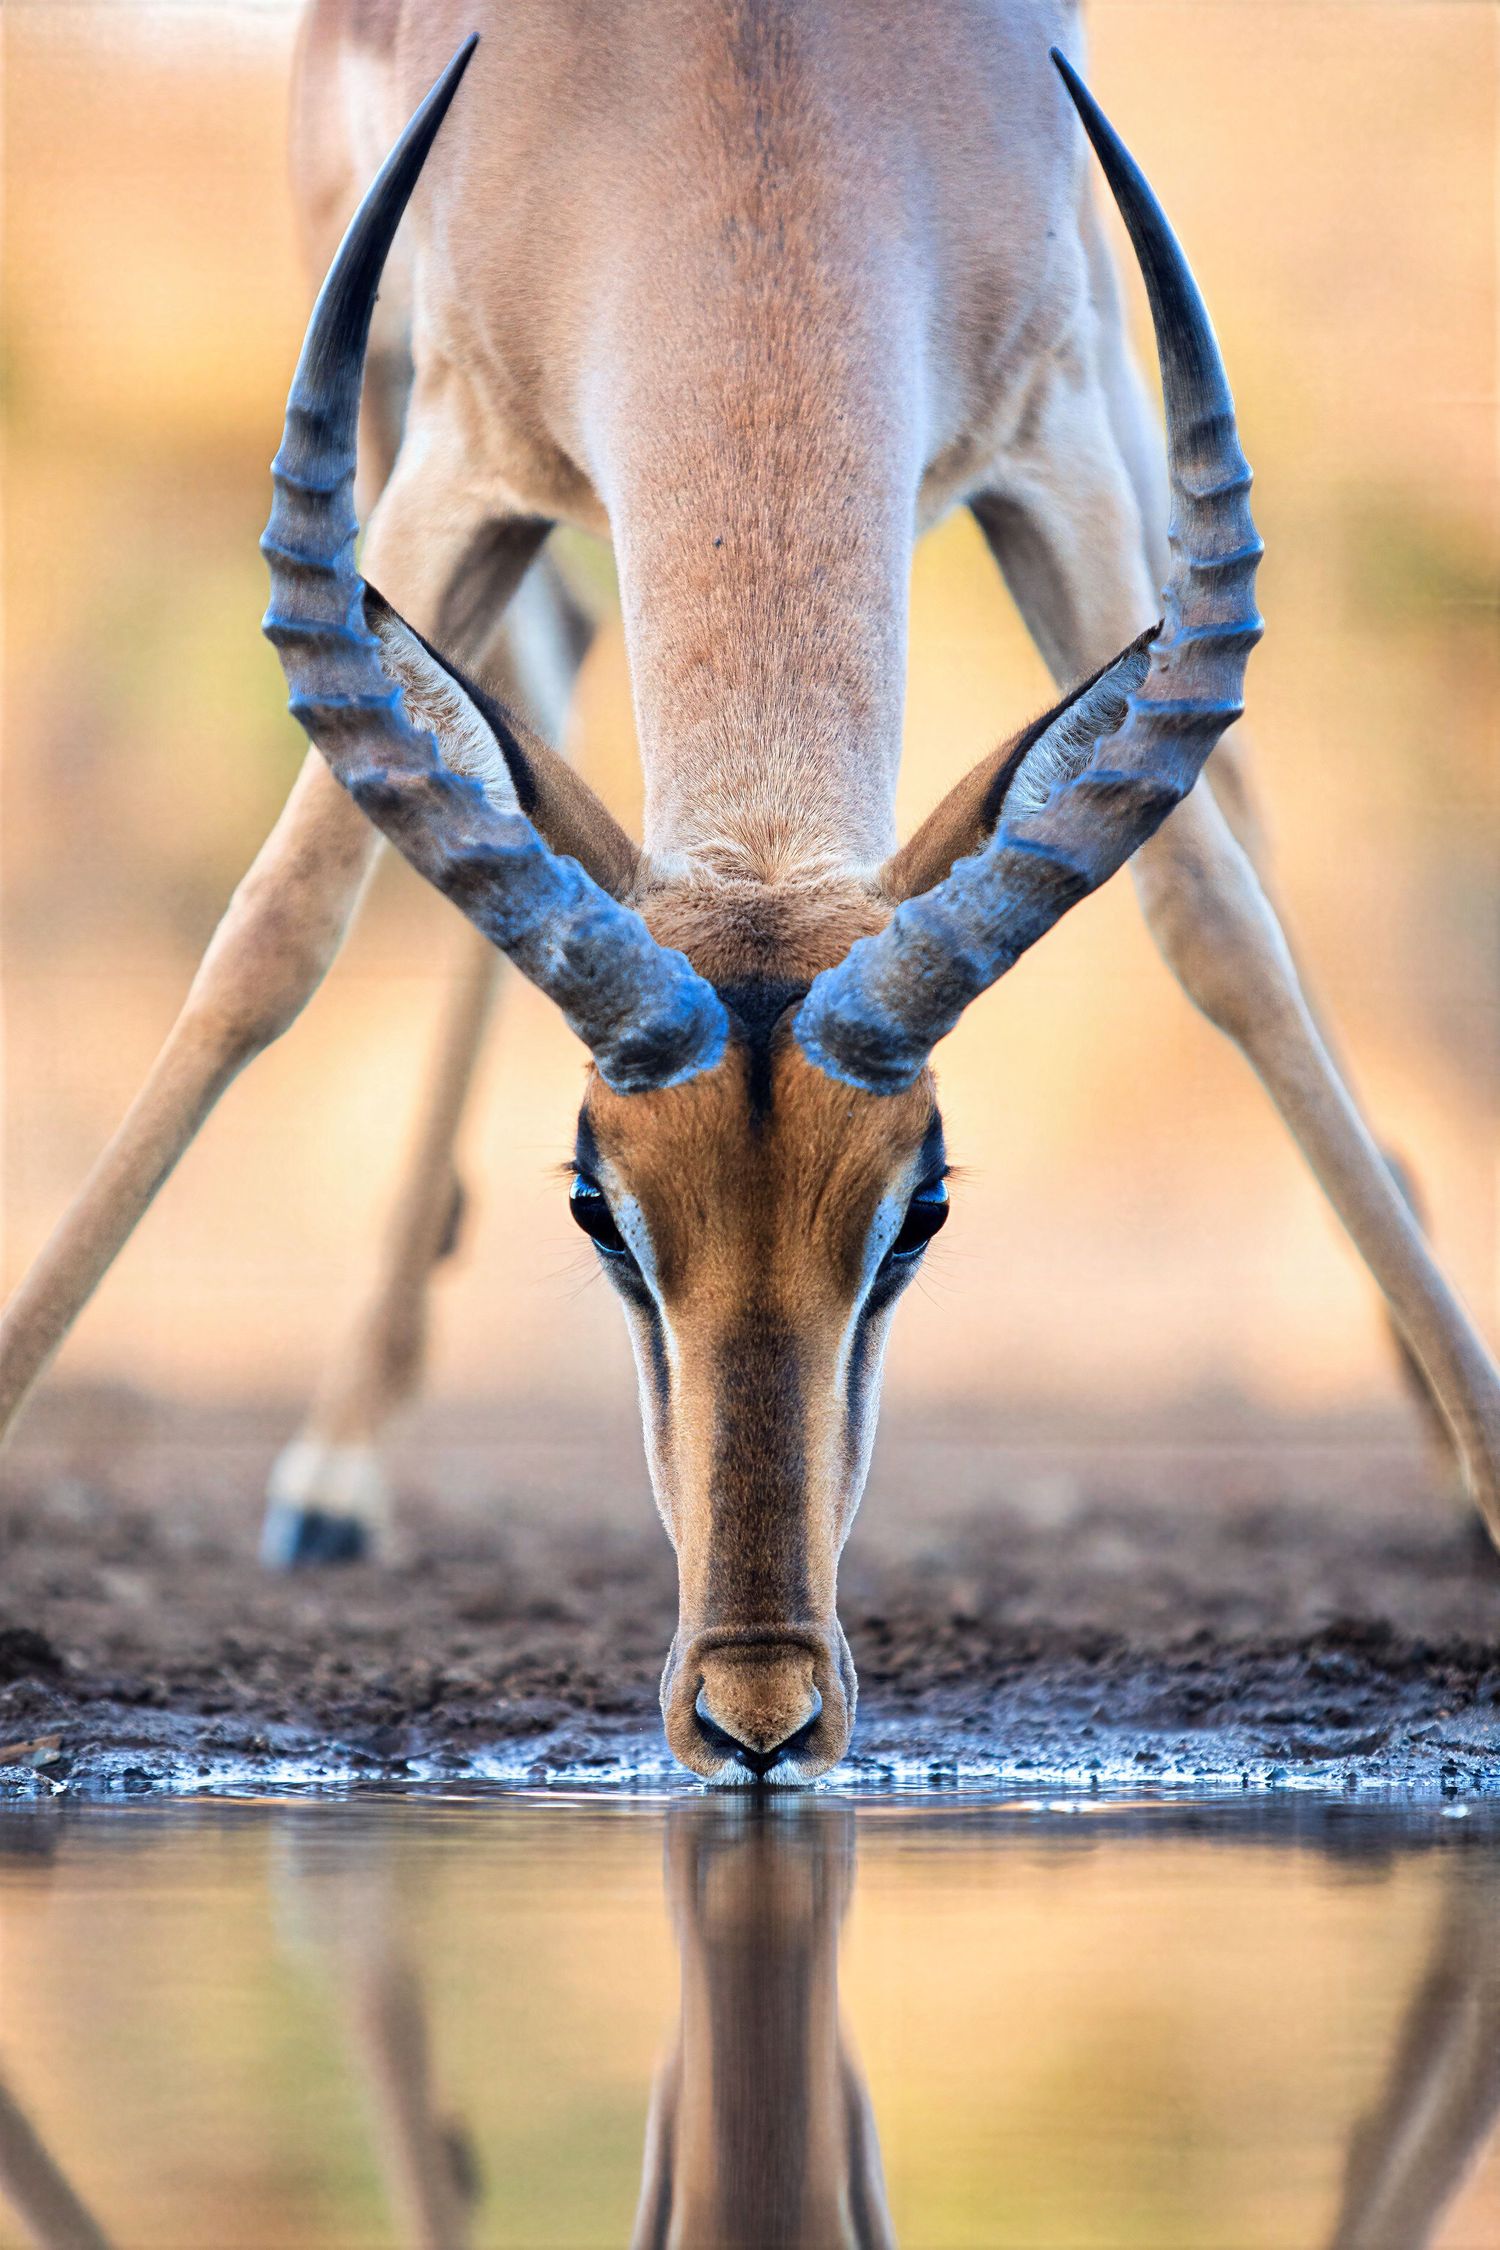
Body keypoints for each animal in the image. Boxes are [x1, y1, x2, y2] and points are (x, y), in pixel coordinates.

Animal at [3, 0, 1499, 1786]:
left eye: (922, 1209)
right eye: (598, 1207)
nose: (759, 1713)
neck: (754, 108)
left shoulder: (1056, 436)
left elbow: (1218, 923)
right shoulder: (450, 464)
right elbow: (275, 929)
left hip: (1122, 390)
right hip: (386, 394)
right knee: (520, 724)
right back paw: (333, 1472)